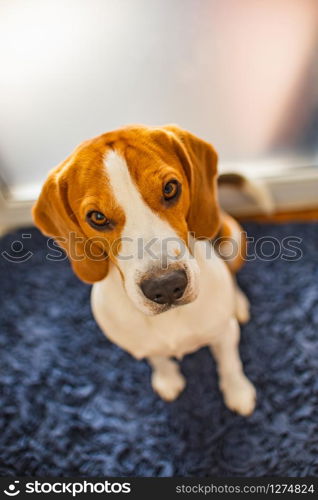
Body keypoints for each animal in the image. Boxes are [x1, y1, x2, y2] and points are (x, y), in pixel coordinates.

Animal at [33, 126, 256, 418]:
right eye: (97, 217)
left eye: (170, 188)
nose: (166, 285)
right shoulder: (140, 344)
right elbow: (158, 359)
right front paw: (168, 379)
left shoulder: (224, 333)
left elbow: (230, 365)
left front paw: (238, 392)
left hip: (232, 238)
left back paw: (238, 303)